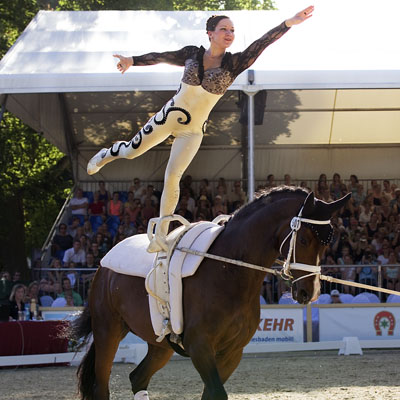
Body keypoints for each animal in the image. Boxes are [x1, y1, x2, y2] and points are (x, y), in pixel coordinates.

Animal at [72, 188, 350, 400]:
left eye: (326, 245)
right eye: (303, 240)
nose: (307, 292)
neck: (229, 271)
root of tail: (105, 263)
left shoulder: (232, 352)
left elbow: (211, 393)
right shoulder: (200, 347)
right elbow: (217, 393)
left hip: (160, 344)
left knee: (138, 377)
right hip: (108, 331)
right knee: (101, 386)